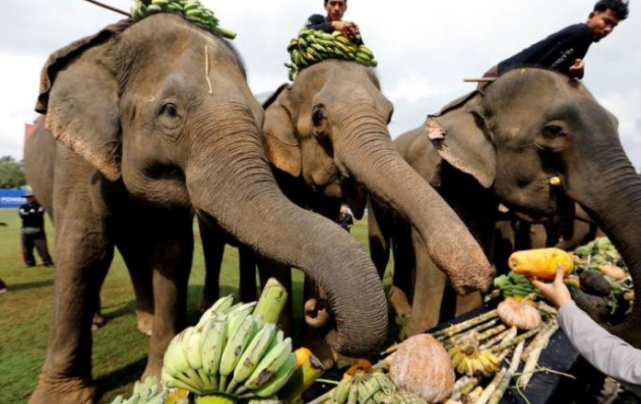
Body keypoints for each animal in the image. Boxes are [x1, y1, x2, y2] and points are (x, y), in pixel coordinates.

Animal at [22, 14, 390, 402]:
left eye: (259, 119)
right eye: (170, 111)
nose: (319, 310)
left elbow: (172, 252)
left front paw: (157, 380)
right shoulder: (77, 159)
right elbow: (84, 248)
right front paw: (58, 397)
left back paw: (151, 322)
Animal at [368, 66, 640, 348]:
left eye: (616, 123)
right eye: (553, 131)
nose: (602, 310)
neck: (478, 101)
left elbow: (480, 245)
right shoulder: (431, 179)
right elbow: (431, 257)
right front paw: (415, 336)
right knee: (385, 244)